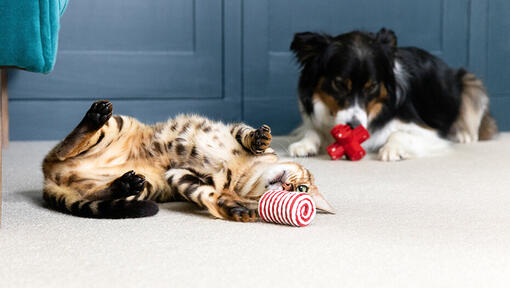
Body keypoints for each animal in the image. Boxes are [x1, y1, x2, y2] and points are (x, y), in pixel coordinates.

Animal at [43, 100, 334, 222]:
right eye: (302, 187)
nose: (287, 188)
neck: (245, 173)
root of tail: (50, 177)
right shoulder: (232, 129)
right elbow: (248, 134)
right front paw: (259, 139)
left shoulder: (179, 176)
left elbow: (209, 195)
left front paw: (235, 209)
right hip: (118, 124)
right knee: (65, 147)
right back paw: (95, 115)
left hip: (147, 186)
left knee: (95, 191)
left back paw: (123, 184)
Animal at [288, 28, 496, 161]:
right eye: (339, 84)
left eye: (372, 87)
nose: (354, 127)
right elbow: (312, 130)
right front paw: (304, 144)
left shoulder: (429, 132)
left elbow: (398, 134)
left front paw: (392, 149)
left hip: (470, 82)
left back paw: (463, 134)